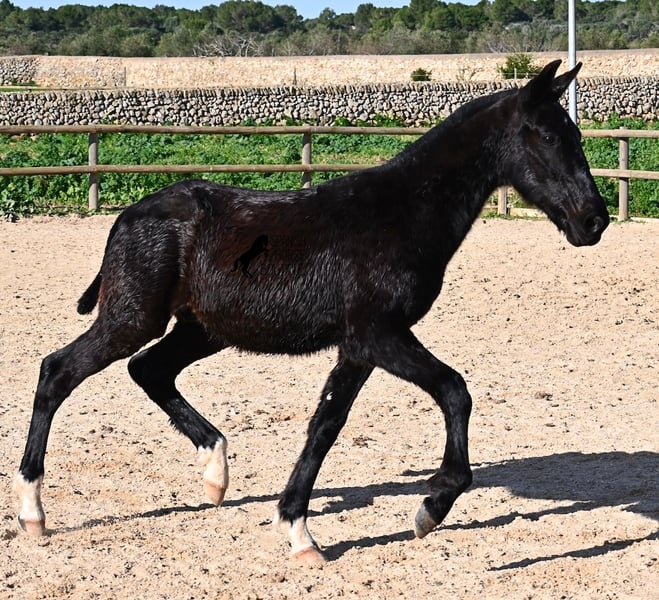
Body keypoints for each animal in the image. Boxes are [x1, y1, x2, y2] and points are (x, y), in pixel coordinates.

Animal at [15, 60, 609, 564]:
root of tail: (128, 217)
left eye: (578, 137)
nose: (594, 221)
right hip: (132, 319)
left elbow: (326, 424)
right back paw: (32, 512)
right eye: (549, 137)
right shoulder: (380, 335)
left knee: (149, 370)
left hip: (202, 330)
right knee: (58, 371)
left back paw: (215, 473)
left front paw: (298, 530)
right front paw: (430, 508)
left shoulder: (359, 346)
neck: (402, 213)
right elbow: (455, 391)